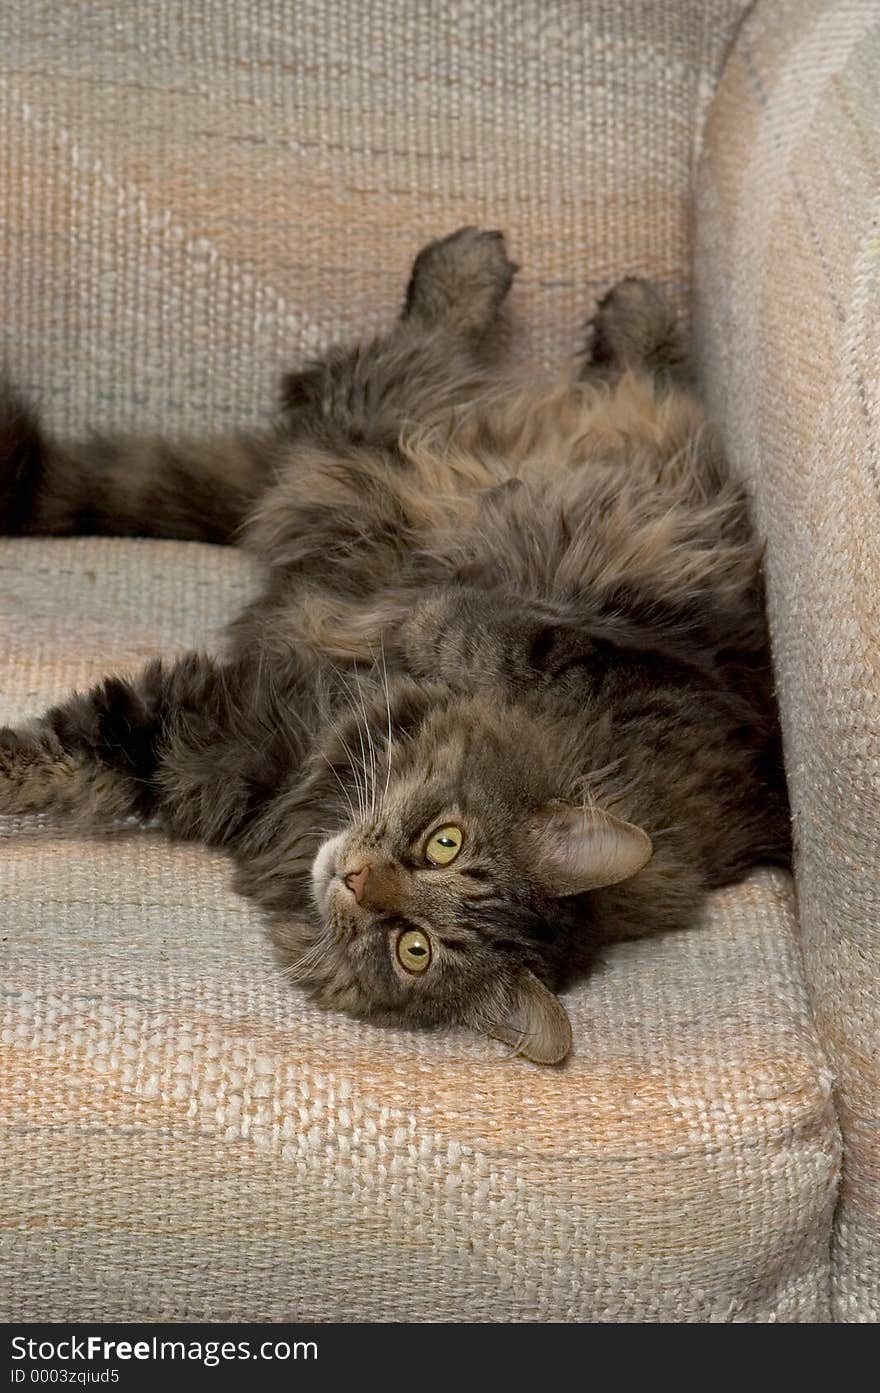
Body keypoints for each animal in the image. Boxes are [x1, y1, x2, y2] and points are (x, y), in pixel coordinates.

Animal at [0, 228, 790, 1058]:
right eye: (446, 842)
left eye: (413, 947)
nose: (356, 877)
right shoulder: (627, 661)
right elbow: (471, 623)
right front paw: (424, 612)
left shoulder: (208, 744)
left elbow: (71, 760)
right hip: (412, 429)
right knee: (476, 353)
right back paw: (534, 281)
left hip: (371, 428)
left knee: (402, 360)